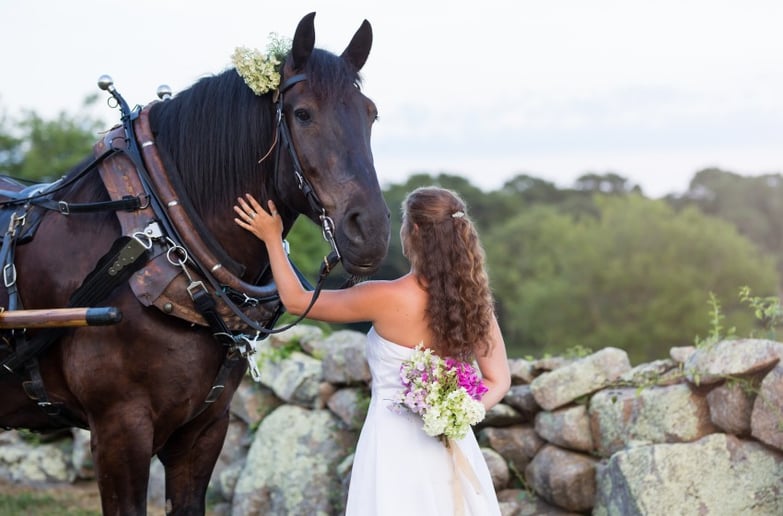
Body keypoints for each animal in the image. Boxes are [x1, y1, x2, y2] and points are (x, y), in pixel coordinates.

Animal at [0, 11, 390, 515]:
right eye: (302, 114)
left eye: (370, 113)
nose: (372, 230)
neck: (158, 237)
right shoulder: (119, 429)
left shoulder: (204, 431)